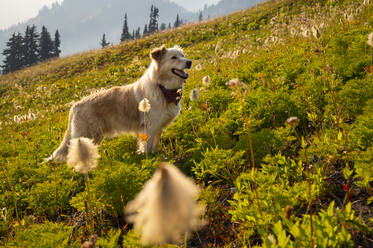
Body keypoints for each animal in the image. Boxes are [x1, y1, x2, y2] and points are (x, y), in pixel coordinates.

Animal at [47, 44, 190, 162]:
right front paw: (150, 160)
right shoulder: (149, 127)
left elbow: (155, 146)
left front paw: (158, 157)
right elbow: (147, 148)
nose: (189, 62)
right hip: (87, 135)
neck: (163, 88)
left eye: (183, 55)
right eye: (173, 57)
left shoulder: (158, 128)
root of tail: (75, 105)